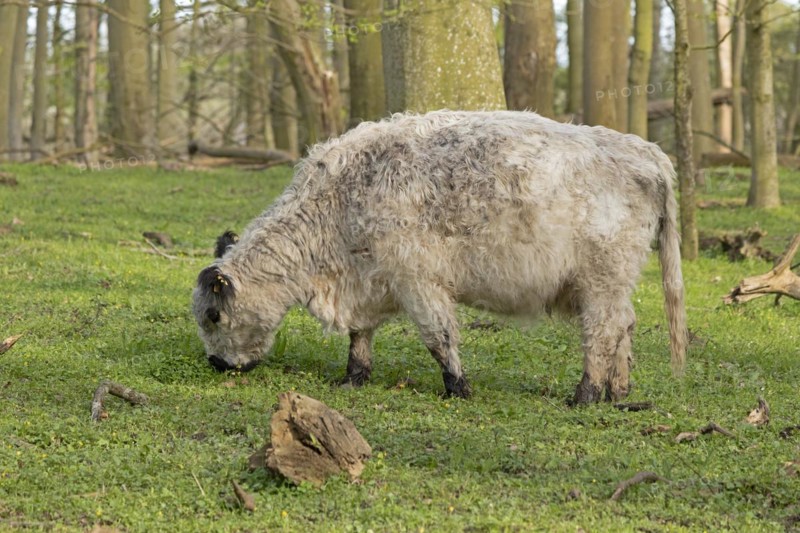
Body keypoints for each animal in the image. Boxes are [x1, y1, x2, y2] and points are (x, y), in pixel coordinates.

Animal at [192, 110, 687, 404]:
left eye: (213, 317)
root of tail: (645, 151)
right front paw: (354, 376)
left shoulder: (418, 281)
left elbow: (439, 338)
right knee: (624, 327)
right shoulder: (371, 280)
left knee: (601, 333)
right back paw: (618, 392)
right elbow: (360, 335)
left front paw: (457, 387)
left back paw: (585, 394)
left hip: (601, 280)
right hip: (613, 283)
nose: (215, 363)